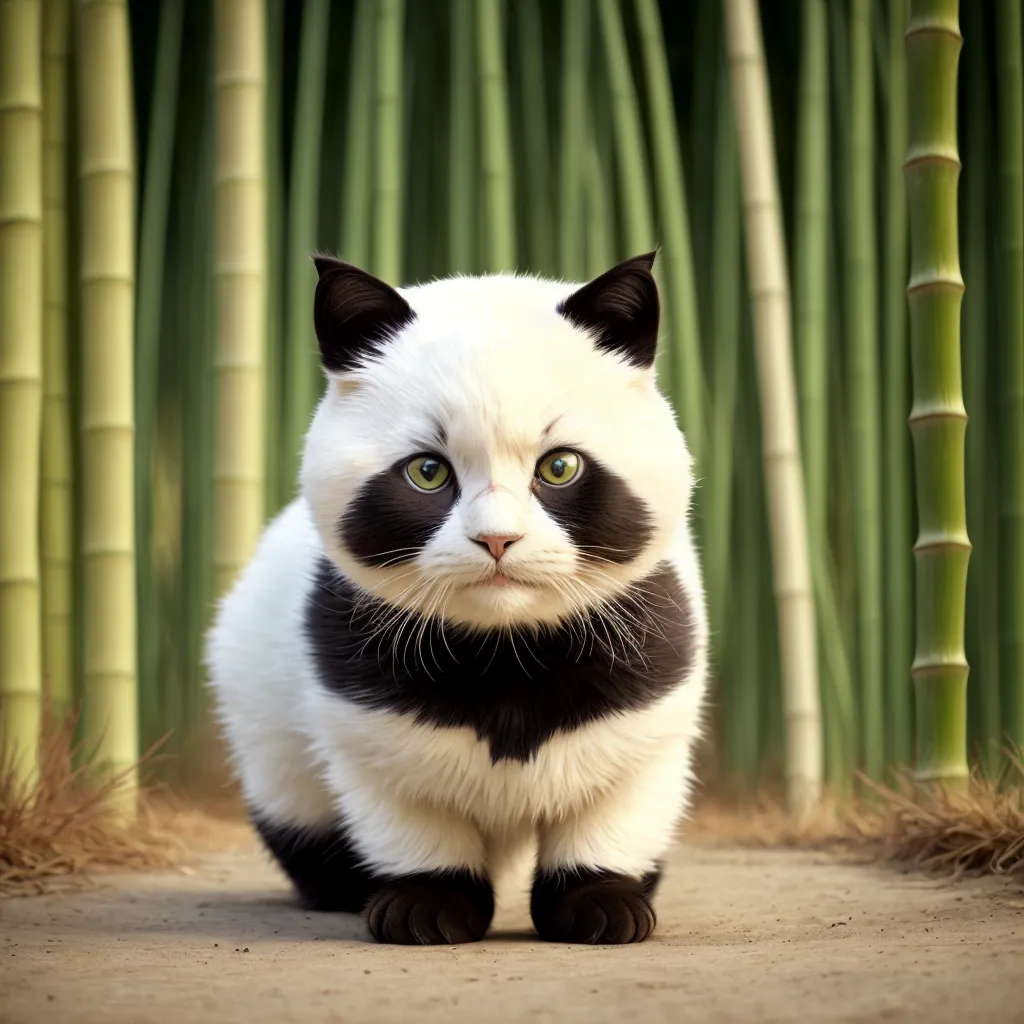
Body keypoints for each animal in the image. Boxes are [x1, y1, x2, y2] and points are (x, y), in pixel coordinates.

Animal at [203, 251, 708, 946]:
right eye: (427, 471)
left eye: (559, 467)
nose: (497, 539)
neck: (506, 650)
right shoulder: (360, 698)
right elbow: (407, 803)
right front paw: (424, 905)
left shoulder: (650, 681)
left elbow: (617, 801)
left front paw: (602, 904)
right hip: (262, 715)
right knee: (295, 806)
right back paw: (340, 889)